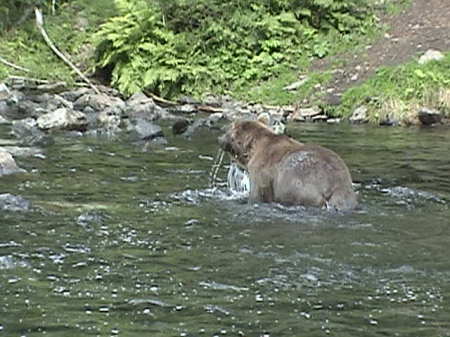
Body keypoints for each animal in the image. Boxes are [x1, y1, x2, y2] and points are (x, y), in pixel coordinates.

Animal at [219, 119, 358, 210]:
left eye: (228, 129)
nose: (219, 139)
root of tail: (335, 186)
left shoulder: (261, 172)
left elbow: (257, 194)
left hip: (298, 185)